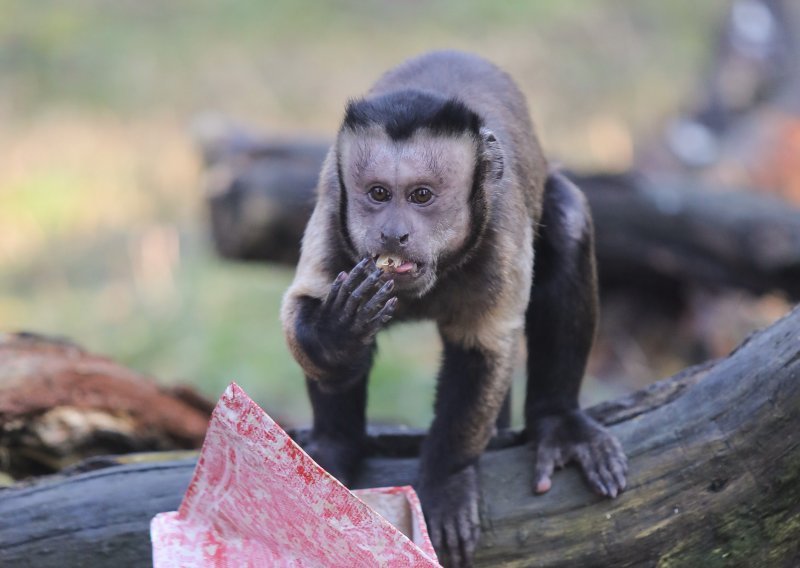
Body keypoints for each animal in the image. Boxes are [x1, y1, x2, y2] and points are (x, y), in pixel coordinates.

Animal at [282, 51, 624, 564]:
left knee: (567, 219)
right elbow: (304, 310)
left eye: (421, 195)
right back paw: (332, 447)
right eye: (378, 193)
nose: (393, 234)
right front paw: (339, 332)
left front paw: (445, 483)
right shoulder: (331, 213)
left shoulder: (500, 229)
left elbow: (483, 350)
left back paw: (558, 421)